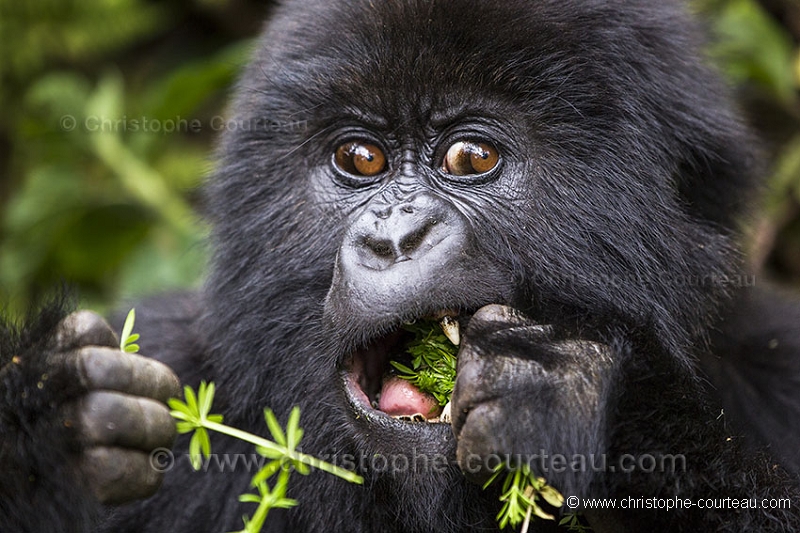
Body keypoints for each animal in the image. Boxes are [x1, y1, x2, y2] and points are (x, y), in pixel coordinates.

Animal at [1, 1, 800, 532]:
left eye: (471, 157)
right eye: (361, 159)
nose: (394, 237)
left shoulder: (774, 359)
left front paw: (585, 403)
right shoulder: (179, 357)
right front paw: (53, 419)